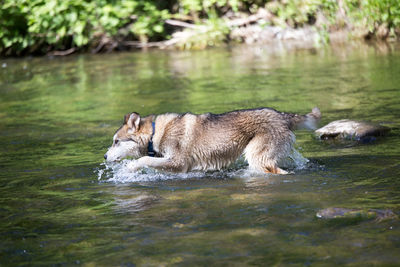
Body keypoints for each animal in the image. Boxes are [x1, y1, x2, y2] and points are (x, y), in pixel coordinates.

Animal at [104, 108, 320, 175]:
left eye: (116, 142)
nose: (104, 156)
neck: (155, 134)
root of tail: (283, 116)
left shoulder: (178, 163)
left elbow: (143, 160)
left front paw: (130, 168)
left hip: (256, 158)